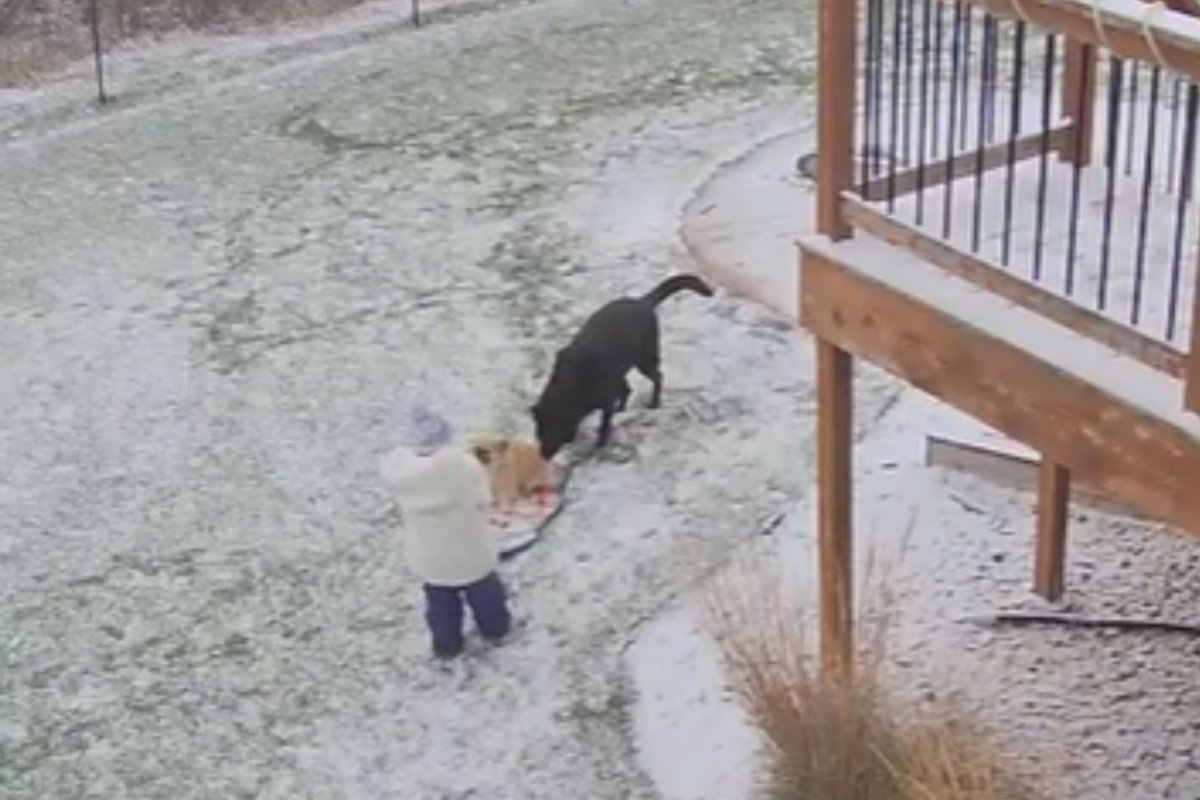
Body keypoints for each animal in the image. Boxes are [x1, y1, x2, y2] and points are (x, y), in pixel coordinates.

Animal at [532, 273, 710, 455]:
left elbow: (604, 427)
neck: (571, 385)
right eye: (538, 432)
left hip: (644, 360)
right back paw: (623, 410)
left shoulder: (605, 401)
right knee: (628, 389)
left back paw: (654, 404)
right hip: (624, 369)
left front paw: (599, 445)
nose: (543, 454)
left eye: (552, 431)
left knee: (658, 377)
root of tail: (642, 302)